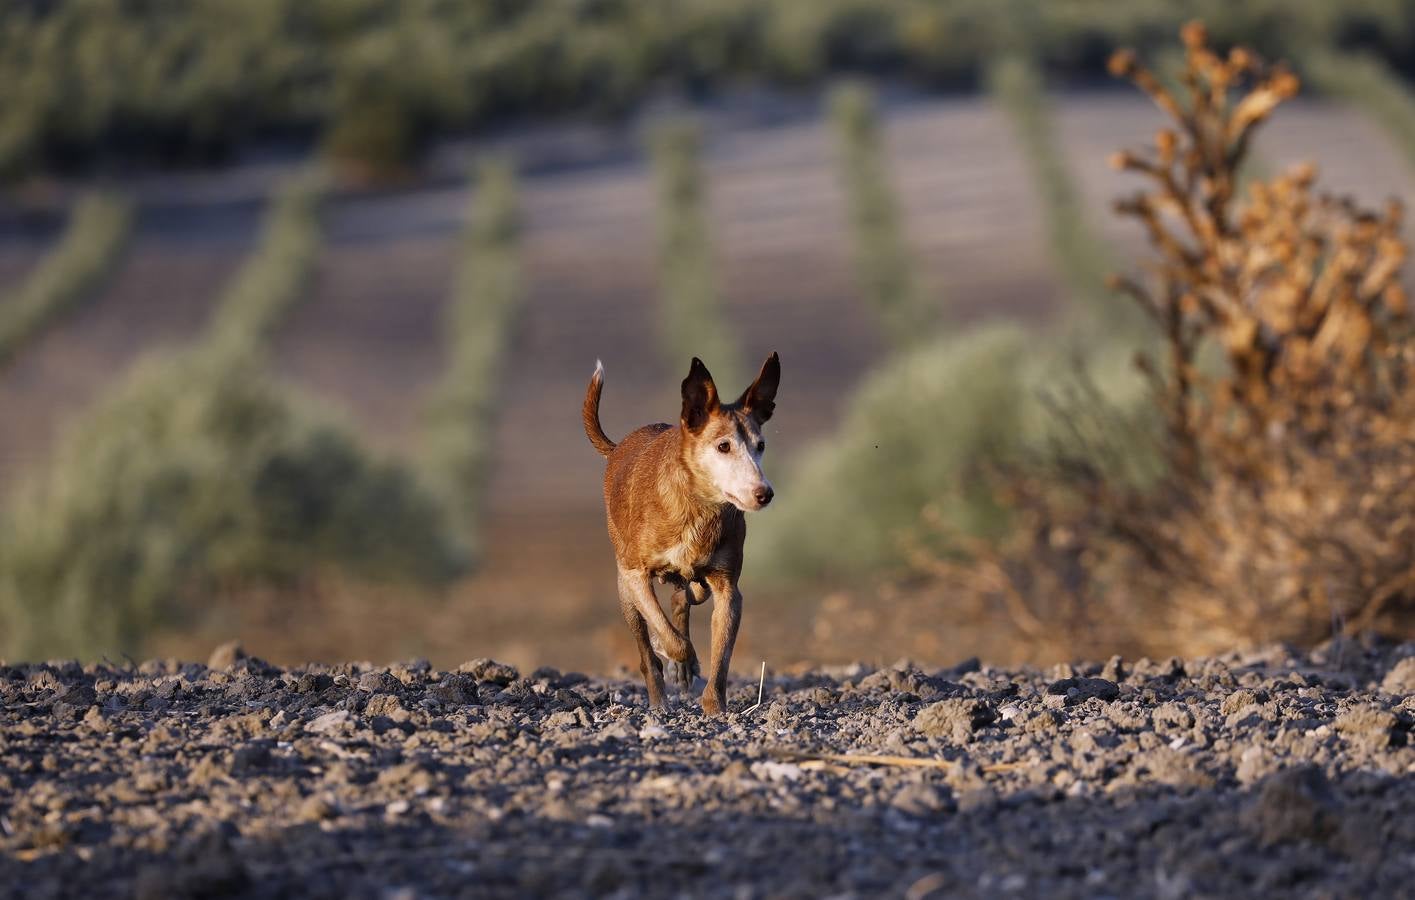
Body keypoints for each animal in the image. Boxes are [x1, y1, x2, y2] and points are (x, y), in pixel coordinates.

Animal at [585, 355, 786, 713]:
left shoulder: (729, 590)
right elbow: (670, 637)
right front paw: (676, 656)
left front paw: (714, 707)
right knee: (647, 653)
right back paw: (660, 694)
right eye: (723, 446)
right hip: (624, 588)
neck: (699, 509)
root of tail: (619, 447)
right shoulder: (635, 576)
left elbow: (721, 656)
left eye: (760, 446)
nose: (764, 493)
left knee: (685, 596)